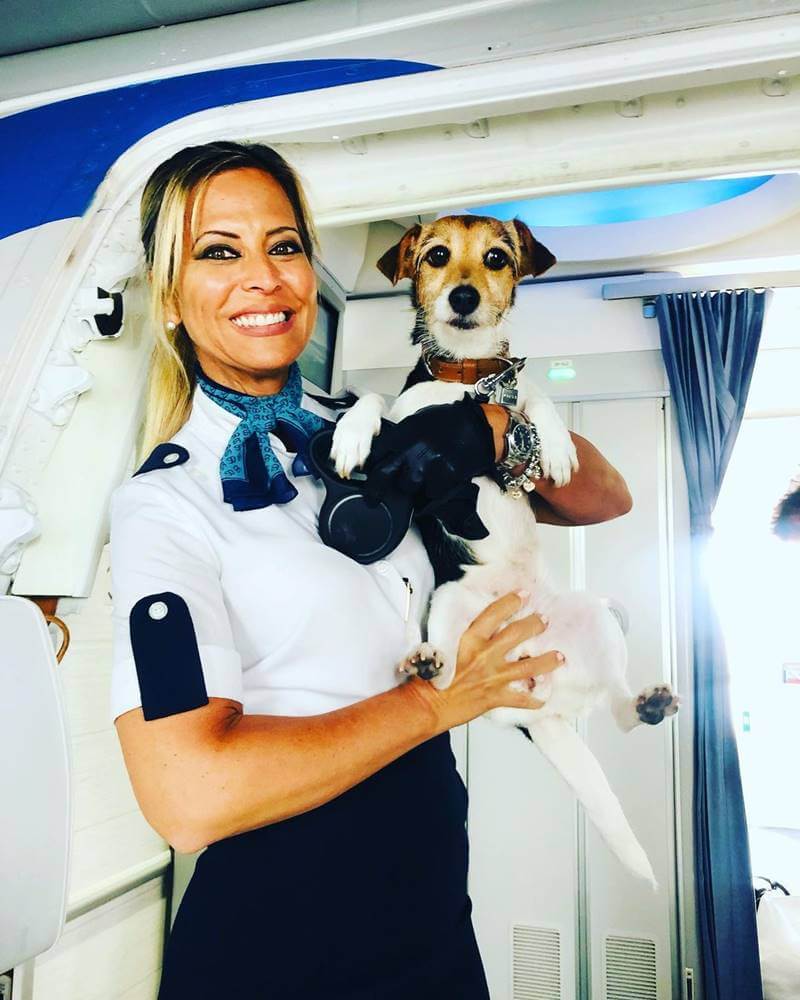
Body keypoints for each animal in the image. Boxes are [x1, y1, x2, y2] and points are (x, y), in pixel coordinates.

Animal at [328, 215, 680, 888]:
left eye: (496, 258)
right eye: (436, 255)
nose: (463, 297)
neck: (467, 379)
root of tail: (537, 710)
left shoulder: (510, 398)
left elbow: (534, 396)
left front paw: (557, 446)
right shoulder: (406, 416)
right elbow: (376, 402)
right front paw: (351, 432)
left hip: (595, 619)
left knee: (617, 705)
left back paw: (645, 705)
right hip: (448, 607)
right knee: (447, 682)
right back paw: (427, 662)